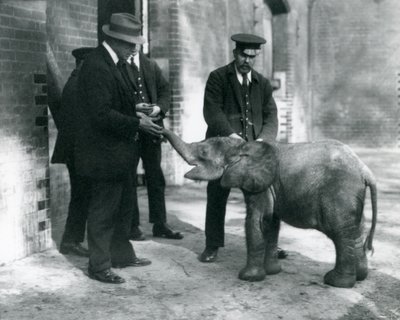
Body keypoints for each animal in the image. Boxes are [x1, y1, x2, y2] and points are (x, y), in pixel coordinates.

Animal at [162, 129, 376, 288]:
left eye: (204, 153)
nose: (158, 127)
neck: (243, 146)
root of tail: (365, 170)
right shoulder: (270, 186)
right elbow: (271, 222)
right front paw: (273, 272)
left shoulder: (260, 185)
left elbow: (257, 220)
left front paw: (248, 278)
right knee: (357, 230)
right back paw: (360, 277)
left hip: (339, 193)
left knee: (341, 233)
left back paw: (336, 282)